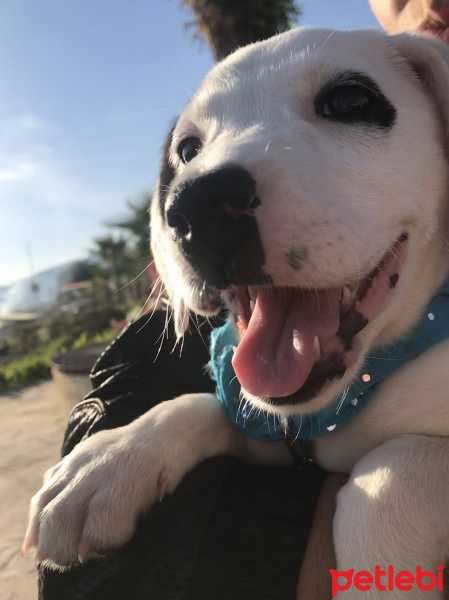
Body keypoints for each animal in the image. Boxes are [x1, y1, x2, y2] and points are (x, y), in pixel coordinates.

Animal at [26, 29, 448, 600]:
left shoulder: (404, 459)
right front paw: (108, 460)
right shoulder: (264, 425)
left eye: (350, 101)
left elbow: (390, 471)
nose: (195, 209)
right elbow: (202, 405)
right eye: (186, 151)